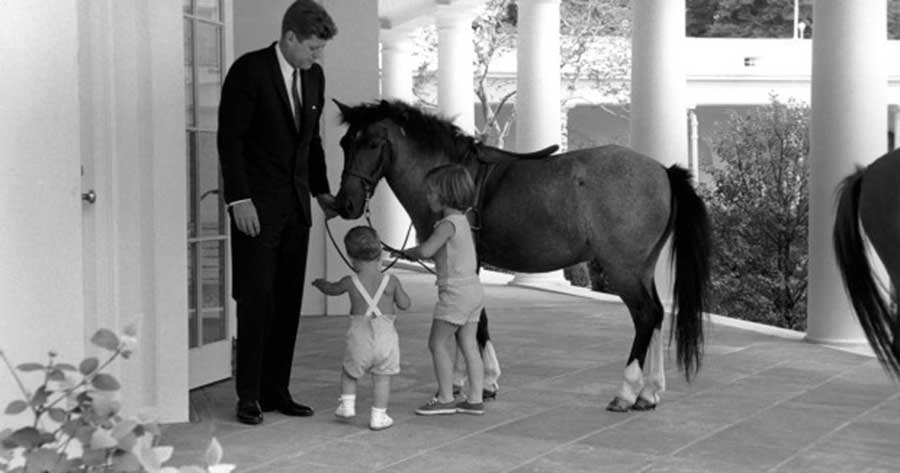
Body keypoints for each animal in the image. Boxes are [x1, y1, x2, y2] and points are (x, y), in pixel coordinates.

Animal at [328, 100, 712, 410]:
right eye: (345, 143)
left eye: (373, 143)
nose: (346, 203)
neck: (452, 174)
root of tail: (662, 171)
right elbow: (468, 319)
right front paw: (468, 380)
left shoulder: (459, 264)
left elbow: (472, 321)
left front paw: (480, 382)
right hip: (642, 267)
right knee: (658, 314)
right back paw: (650, 392)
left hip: (623, 269)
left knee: (645, 316)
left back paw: (627, 392)